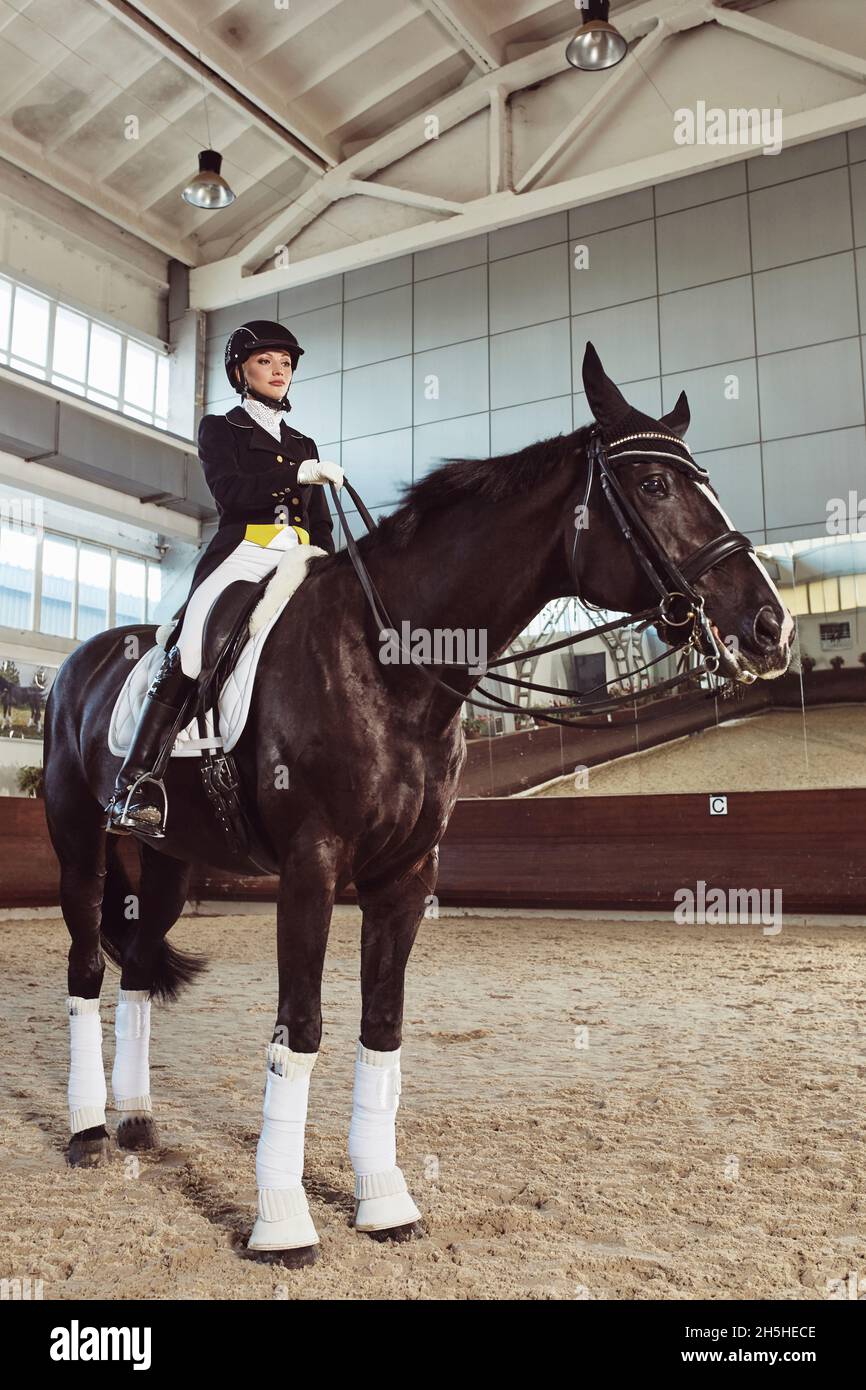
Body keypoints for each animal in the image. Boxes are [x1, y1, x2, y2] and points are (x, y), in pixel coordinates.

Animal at [42, 344, 793, 1267]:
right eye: (653, 486)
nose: (770, 627)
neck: (387, 657)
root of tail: (81, 661)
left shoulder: (404, 874)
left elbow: (383, 1029)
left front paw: (383, 1201)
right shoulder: (312, 867)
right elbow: (301, 1029)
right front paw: (282, 1221)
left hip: (172, 860)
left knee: (142, 966)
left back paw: (139, 1121)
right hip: (78, 839)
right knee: (85, 968)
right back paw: (86, 1129)